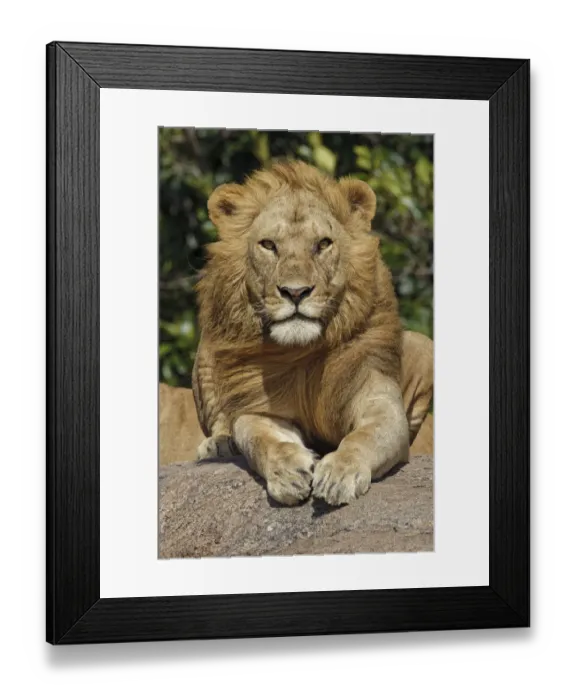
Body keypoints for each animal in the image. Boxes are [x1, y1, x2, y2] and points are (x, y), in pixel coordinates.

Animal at [191, 161, 433, 506]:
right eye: (269, 245)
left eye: (323, 244)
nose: (295, 292)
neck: (301, 352)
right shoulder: (261, 410)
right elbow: (261, 439)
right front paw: (288, 472)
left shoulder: (379, 401)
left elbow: (363, 437)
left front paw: (339, 474)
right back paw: (219, 445)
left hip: (423, 346)